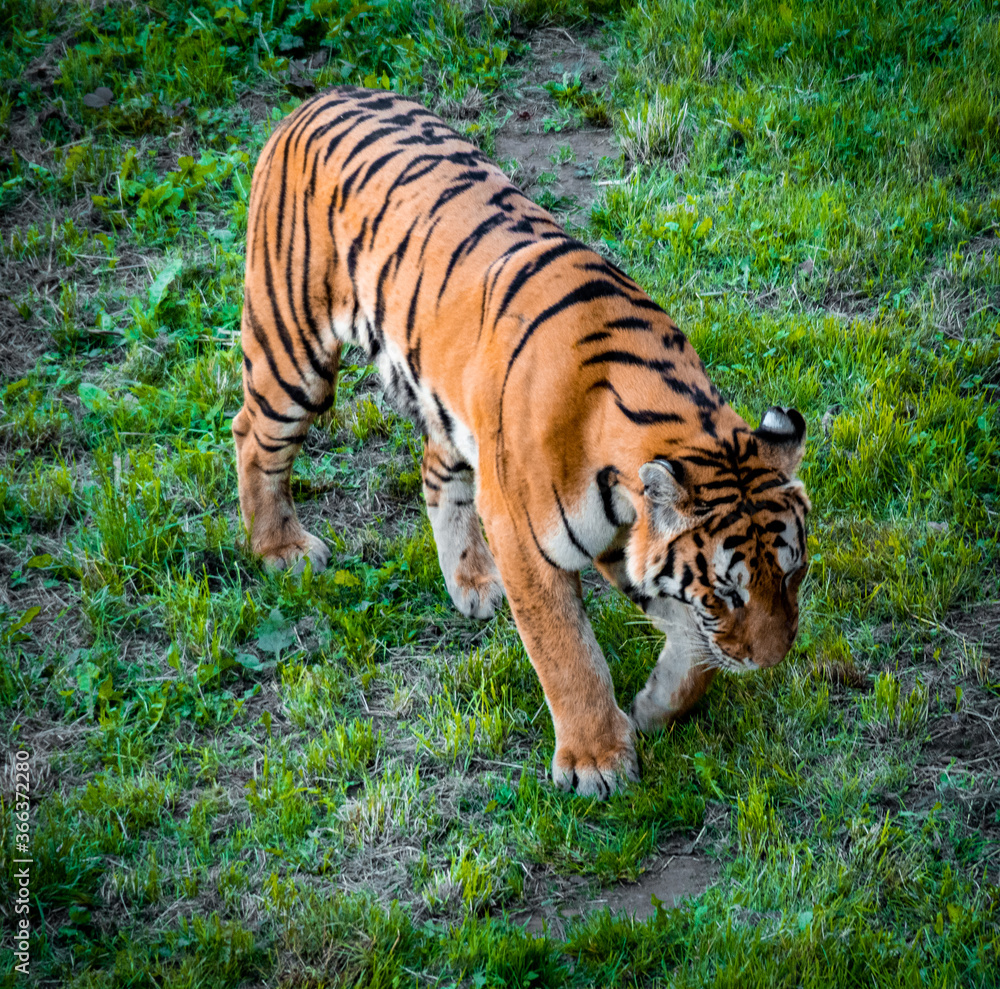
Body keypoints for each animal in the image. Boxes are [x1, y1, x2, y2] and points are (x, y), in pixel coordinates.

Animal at [232, 86, 810, 798]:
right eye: (729, 592)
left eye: (794, 572)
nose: (772, 661)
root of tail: (320, 97)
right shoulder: (526, 537)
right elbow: (568, 652)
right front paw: (597, 762)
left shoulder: (630, 544)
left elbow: (693, 648)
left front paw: (653, 707)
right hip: (293, 353)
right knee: (251, 435)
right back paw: (280, 550)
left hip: (449, 403)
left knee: (435, 470)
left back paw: (474, 583)